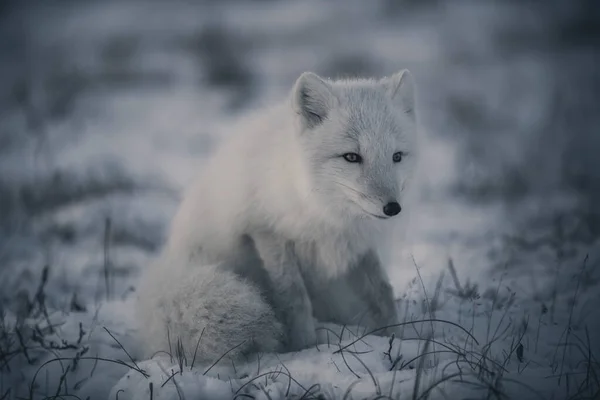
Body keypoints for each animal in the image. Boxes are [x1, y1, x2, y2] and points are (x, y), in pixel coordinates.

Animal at [137, 69, 418, 362]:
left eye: (397, 156)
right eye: (352, 157)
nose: (393, 208)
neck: (326, 213)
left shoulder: (359, 246)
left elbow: (383, 292)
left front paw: (397, 337)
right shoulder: (267, 234)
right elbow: (294, 298)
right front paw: (305, 348)